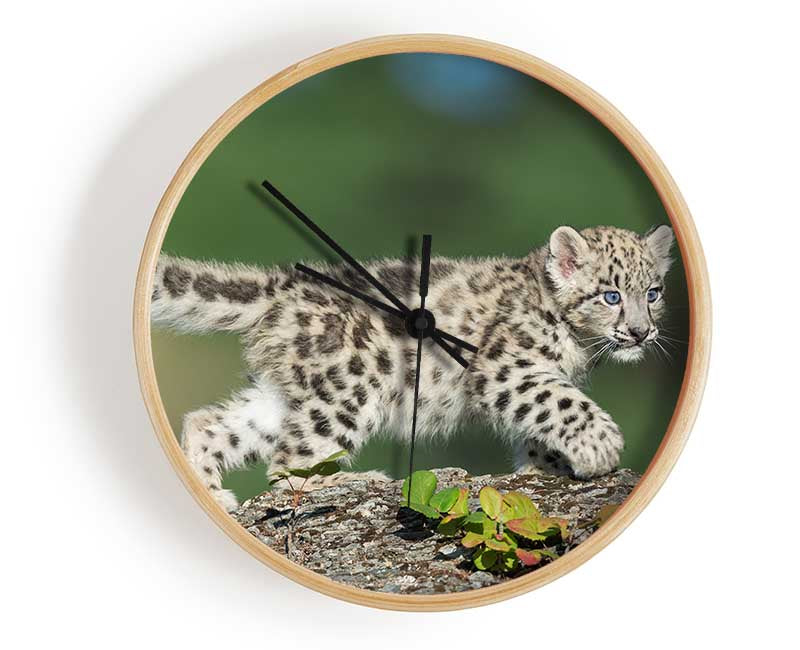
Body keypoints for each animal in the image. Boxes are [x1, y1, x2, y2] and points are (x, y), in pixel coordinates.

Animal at [151, 224, 675, 511]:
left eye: (653, 292)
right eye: (611, 295)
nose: (640, 332)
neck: (577, 346)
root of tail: (283, 286)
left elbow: (541, 421)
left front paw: (548, 466)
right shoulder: (506, 367)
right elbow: (561, 403)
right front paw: (600, 448)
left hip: (287, 395)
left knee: (211, 423)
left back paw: (213, 494)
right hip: (353, 387)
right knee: (288, 463)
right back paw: (354, 480)